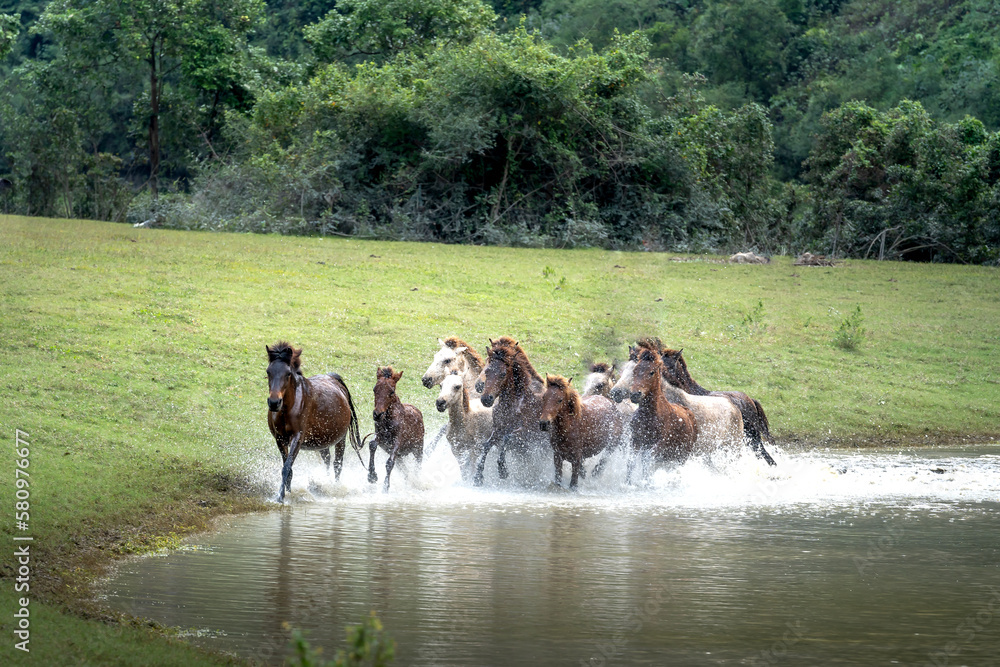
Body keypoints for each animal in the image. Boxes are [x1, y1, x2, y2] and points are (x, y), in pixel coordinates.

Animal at [265, 342, 361, 502]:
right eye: (268, 371)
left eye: (288, 373)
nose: (274, 403)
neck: (288, 408)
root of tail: (335, 380)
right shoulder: (280, 439)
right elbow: (288, 469)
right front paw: (288, 493)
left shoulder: (297, 438)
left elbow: (286, 467)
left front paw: (280, 497)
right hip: (322, 442)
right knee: (327, 461)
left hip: (340, 439)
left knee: (337, 465)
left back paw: (334, 489)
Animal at [472, 336, 548, 486]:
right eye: (487, 371)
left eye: (503, 374)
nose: (486, 399)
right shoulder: (498, 429)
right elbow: (487, 445)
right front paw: (478, 476)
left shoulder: (524, 433)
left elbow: (508, 438)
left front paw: (502, 470)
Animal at [625, 345, 698, 483]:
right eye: (635, 370)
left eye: (651, 372)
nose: (635, 394)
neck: (650, 416)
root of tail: (689, 412)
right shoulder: (635, 441)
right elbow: (631, 463)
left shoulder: (657, 445)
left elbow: (646, 463)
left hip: (681, 457)